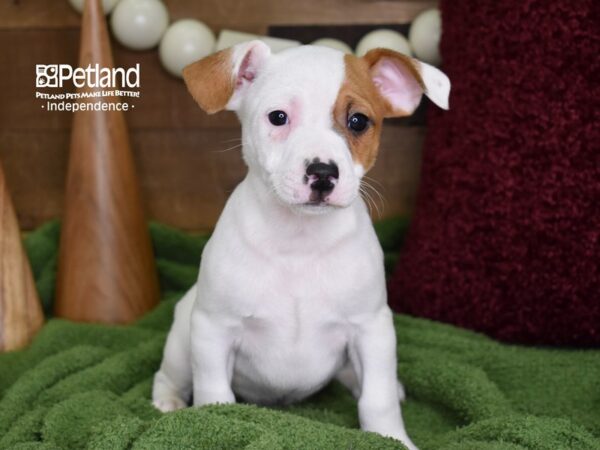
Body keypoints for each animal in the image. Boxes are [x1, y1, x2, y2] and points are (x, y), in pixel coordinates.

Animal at [152, 40, 448, 448]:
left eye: (359, 121)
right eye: (278, 117)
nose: (322, 173)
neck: (298, 240)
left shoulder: (372, 329)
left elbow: (379, 397)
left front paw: (393, 438)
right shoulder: (214, 330)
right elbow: (215, 395)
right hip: (183, 341)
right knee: (168, 375)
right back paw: (168, 400)